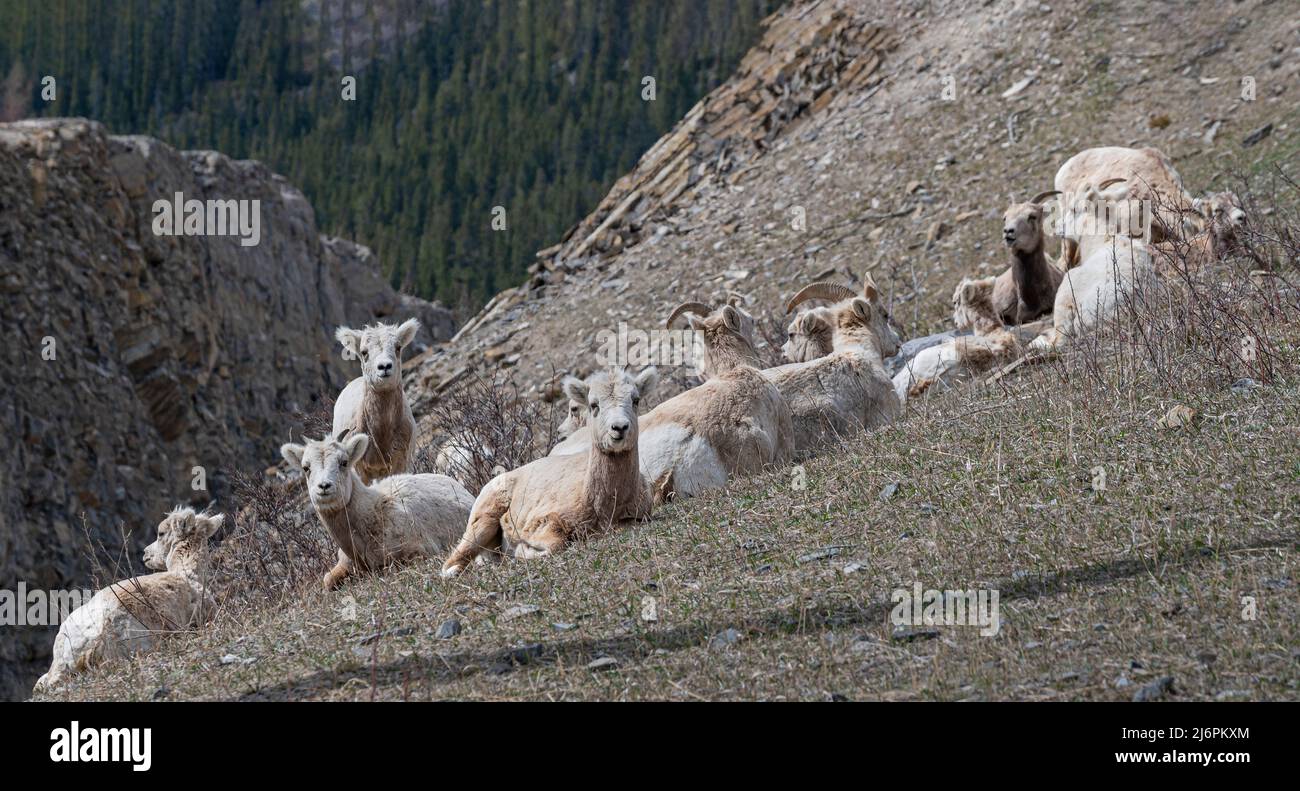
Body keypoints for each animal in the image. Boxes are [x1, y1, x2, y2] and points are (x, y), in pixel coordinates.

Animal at [332, 318, 420, 483]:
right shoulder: (359, 469)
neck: (380, 436)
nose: (384, 366)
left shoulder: (400, 462)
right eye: (364, 352)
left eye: (398, 347)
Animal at [440, 367, 658, 575]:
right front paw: (522, 551)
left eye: (635, 400)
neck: (603, 507)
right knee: (450, 564)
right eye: (594, 404)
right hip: (482, 522)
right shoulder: (543, 521)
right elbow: (554, 544)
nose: (619, 427)